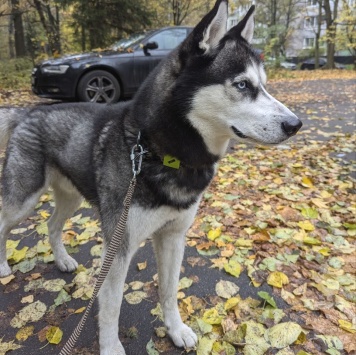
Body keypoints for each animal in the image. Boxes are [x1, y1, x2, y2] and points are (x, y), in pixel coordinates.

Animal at [0, 1, 302, 354]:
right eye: (242, 85)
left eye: (264, 85)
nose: (295, 125)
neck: (158, 151)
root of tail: (29, 109)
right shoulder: (119, 246)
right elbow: (111, 305)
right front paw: (111, 347)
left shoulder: (173, 236)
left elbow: (169, 290)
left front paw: (176, 329)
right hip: (24, 197)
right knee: (5, 222)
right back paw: (4, 266)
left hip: (71, 197)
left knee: (51, 225)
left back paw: (62, 260)